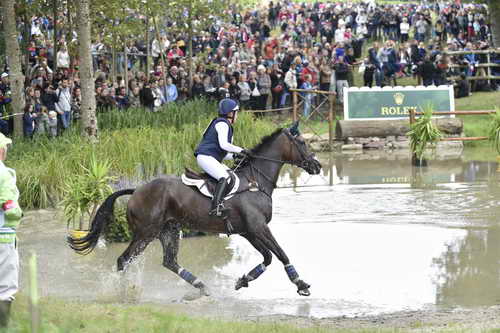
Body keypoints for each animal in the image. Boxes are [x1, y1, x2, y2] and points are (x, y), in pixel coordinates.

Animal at [67, 121, 320, 296]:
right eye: (302, 143)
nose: (317, 166)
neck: (255, 181)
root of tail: (136, 190)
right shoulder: (258, 228)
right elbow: (280, 253)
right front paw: (301, 284)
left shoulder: (248, 231)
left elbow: (267, 258)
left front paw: (243, 280)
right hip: (145, 233)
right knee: (124, 260)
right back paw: (123, 291)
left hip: (168, 230)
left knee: (169, 262)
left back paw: (201, 286)